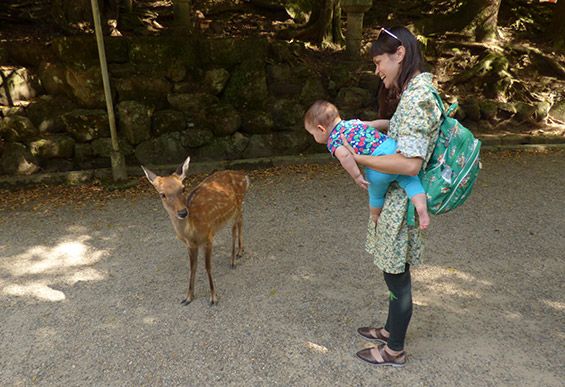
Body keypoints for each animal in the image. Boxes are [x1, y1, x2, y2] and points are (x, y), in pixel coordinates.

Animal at [141, 155, 249, 306]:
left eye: (183, 188)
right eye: (162, 194)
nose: (182, 212)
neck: (191, 232)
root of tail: (244, 175)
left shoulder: (208, 237)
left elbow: (207, 267)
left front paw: (213, 297)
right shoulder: (190, 245)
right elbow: (192, 267)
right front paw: (188, 297)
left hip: (238, 204)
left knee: (234, 228)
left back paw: (233, 260)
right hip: (236, 209)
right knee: (240, 221)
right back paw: (240, 251)